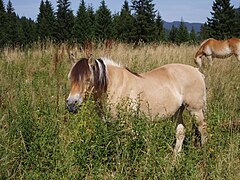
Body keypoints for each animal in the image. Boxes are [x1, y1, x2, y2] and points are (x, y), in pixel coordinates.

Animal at [66, 57, 208, 156]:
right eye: (70, 78)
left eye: (88, 80)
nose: (71, 104)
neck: (114, 85)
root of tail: (197, 71)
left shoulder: (126, 123)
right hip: (177, 112)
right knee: (180, 133)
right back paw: (175, 158)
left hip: (195, 110)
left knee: (203, 129)